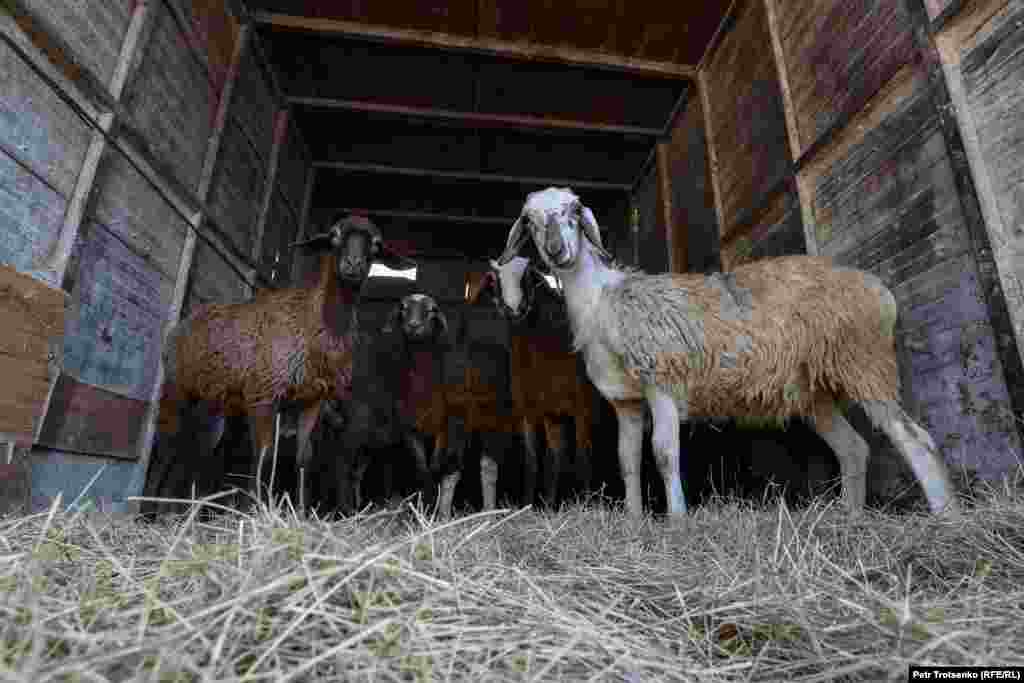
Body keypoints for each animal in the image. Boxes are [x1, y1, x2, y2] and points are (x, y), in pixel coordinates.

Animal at [150, 214, 411, 511]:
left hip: (219, 400)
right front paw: (252, 509)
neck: (316, 321)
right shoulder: (264, 394)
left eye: (376, 244)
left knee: (200, 449)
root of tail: (184, 322)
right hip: (178, 387)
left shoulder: (312, 400)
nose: (353, 265)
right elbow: (264, 455)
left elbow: (304, 458)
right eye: (334, 235)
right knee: (168, 442)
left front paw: (301, 510)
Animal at [468, 255, 602, 507]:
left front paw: (587, 505)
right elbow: (535, 459)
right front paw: (531, 505)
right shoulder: (530, 411)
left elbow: (583, 457)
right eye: (495, 281)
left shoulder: (582, 407)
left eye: (529, 277)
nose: (514, 309)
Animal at [495, 187, 958, 518]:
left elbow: (664, 454)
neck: (602, 301)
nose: (557, 250)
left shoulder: (663, 382)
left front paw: (677, 521)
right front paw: (634, 522)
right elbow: (627, 461)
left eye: (574, 211)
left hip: (863, 361)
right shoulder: (626, 402)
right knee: (853, 449)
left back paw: (946, 517)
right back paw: (851, 519)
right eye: (529, 221)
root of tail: (879, 289)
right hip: (816, 391)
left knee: (913, 437)